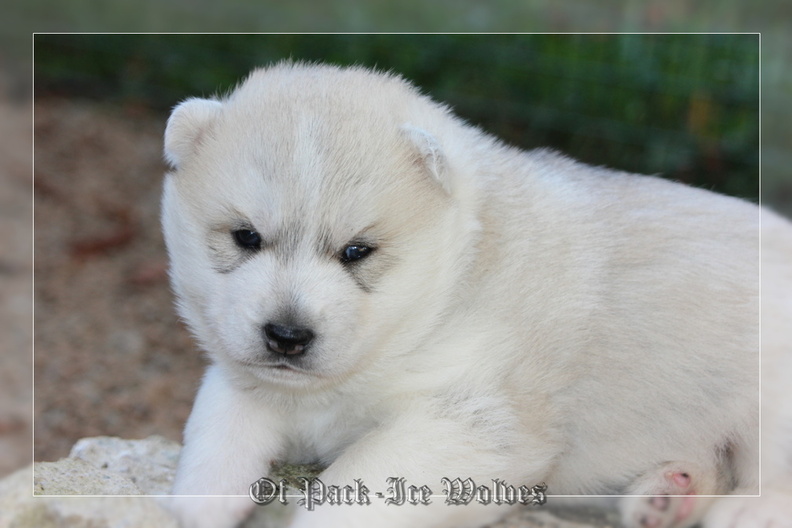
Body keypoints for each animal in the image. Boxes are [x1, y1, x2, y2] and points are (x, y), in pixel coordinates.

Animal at [162, 63, 792, 528]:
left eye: (356, 251)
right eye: (246, 237)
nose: (287, 337)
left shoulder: (471, 423)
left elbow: (354, 488)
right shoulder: (247, 375)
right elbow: (219, 415)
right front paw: (201, 499)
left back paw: (745, 509)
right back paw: (667, 495)